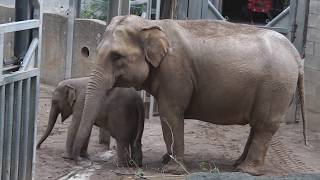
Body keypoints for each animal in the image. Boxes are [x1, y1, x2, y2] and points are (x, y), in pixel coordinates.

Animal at [72, 14, 304, 175]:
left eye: (117, 56)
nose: (82, 159)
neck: (150, 23)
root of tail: (296, 54)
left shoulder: (174, 72)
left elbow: (171, 114)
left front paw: (171, 170)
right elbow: (167, 118)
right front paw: (165, 160)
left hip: (276, 87)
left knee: (264, 125)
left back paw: (246, 170)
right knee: (257, 125)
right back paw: (238, 164)